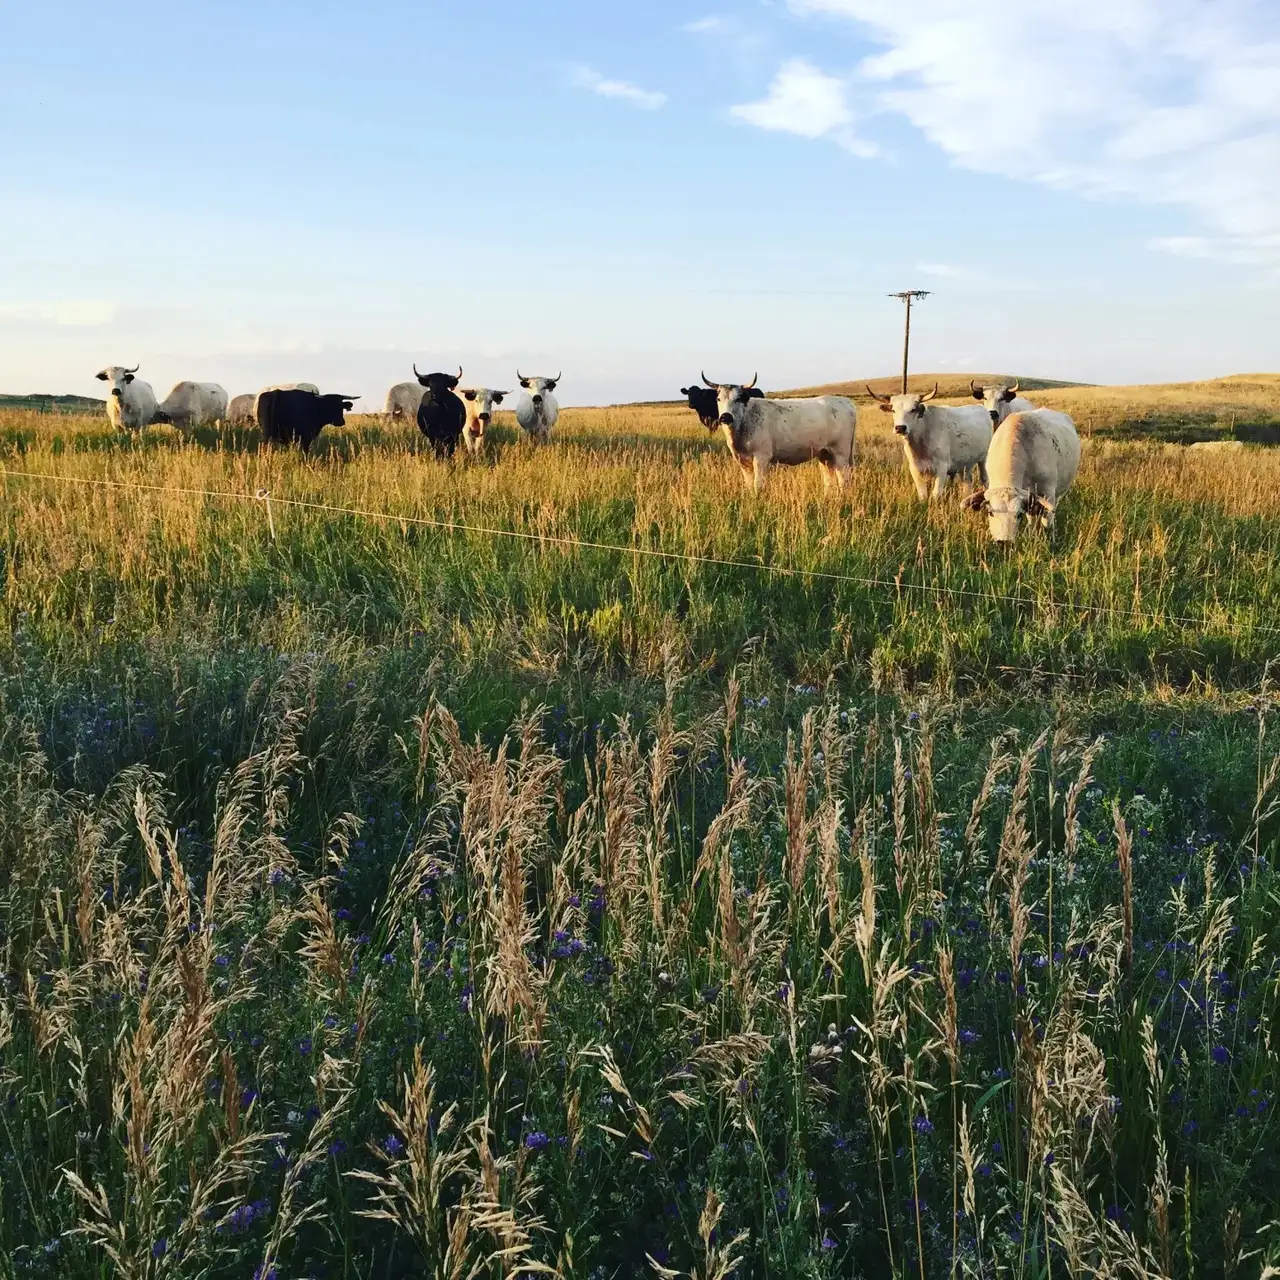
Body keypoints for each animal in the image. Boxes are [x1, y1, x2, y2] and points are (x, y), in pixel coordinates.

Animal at [706, 373, 855, 494]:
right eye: (718, 399)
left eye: (738, 399)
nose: (725, 416)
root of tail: (845, 401)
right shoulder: (741, 460)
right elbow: (749, 485)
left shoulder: (761, 457)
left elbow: (758, 485)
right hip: (825, 454)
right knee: (829, 480)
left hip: (841, 454)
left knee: (844, 479)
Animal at [962, 407, 1080, 542]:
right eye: (990, 512)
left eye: (1018, 514)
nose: (1004, 542)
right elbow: (1031, 519)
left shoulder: (1048, 492)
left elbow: (1048, 523)